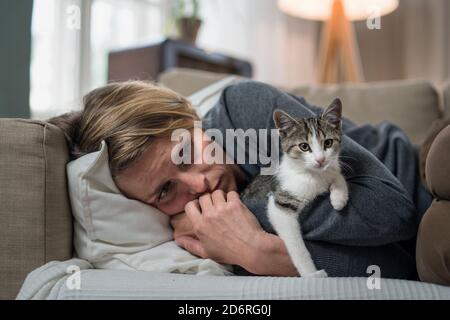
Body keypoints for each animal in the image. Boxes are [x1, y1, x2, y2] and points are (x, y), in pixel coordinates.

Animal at [243, 99, 348, 278]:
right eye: (304, 146)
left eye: (328, 143)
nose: (320, 160)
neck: (313, 175)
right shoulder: (281, 203)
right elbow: (297, 247)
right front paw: (312, 274)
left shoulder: (331, 168)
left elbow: (337, 174)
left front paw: (339, 198)